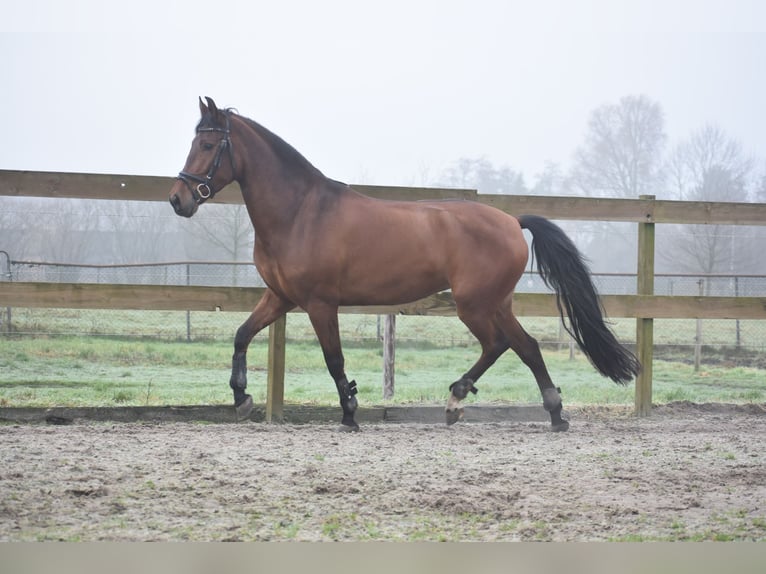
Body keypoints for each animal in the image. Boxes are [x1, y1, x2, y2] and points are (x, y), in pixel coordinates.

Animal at [170, 98, 640, 432]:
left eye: (208, 145)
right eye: (193, 142)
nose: (179, 199)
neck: (300, 212)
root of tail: (511, 220)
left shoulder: (320, 304)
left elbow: (334, 359)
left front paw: (350, 412)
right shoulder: (280, 297)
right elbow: (241, 335)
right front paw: (241, 399)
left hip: (475, 304)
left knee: (504, 344)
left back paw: (498, 405)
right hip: (494, 303)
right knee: (521, 346)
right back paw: (517, 409)